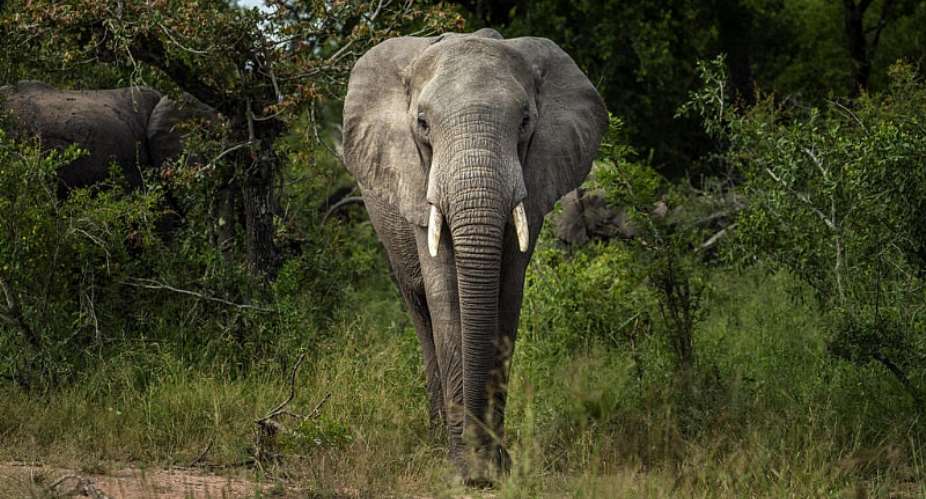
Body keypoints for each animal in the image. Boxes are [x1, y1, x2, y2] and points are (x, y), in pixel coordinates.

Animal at [342, 28, 607, 483]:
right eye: (422, 124)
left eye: (524, 122)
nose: (480, 463)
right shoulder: (416, 182)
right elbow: (446, 297)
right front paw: (465, 468)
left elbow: (507, 296)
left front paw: (496, 467)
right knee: (420, 312)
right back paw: (435, 437)